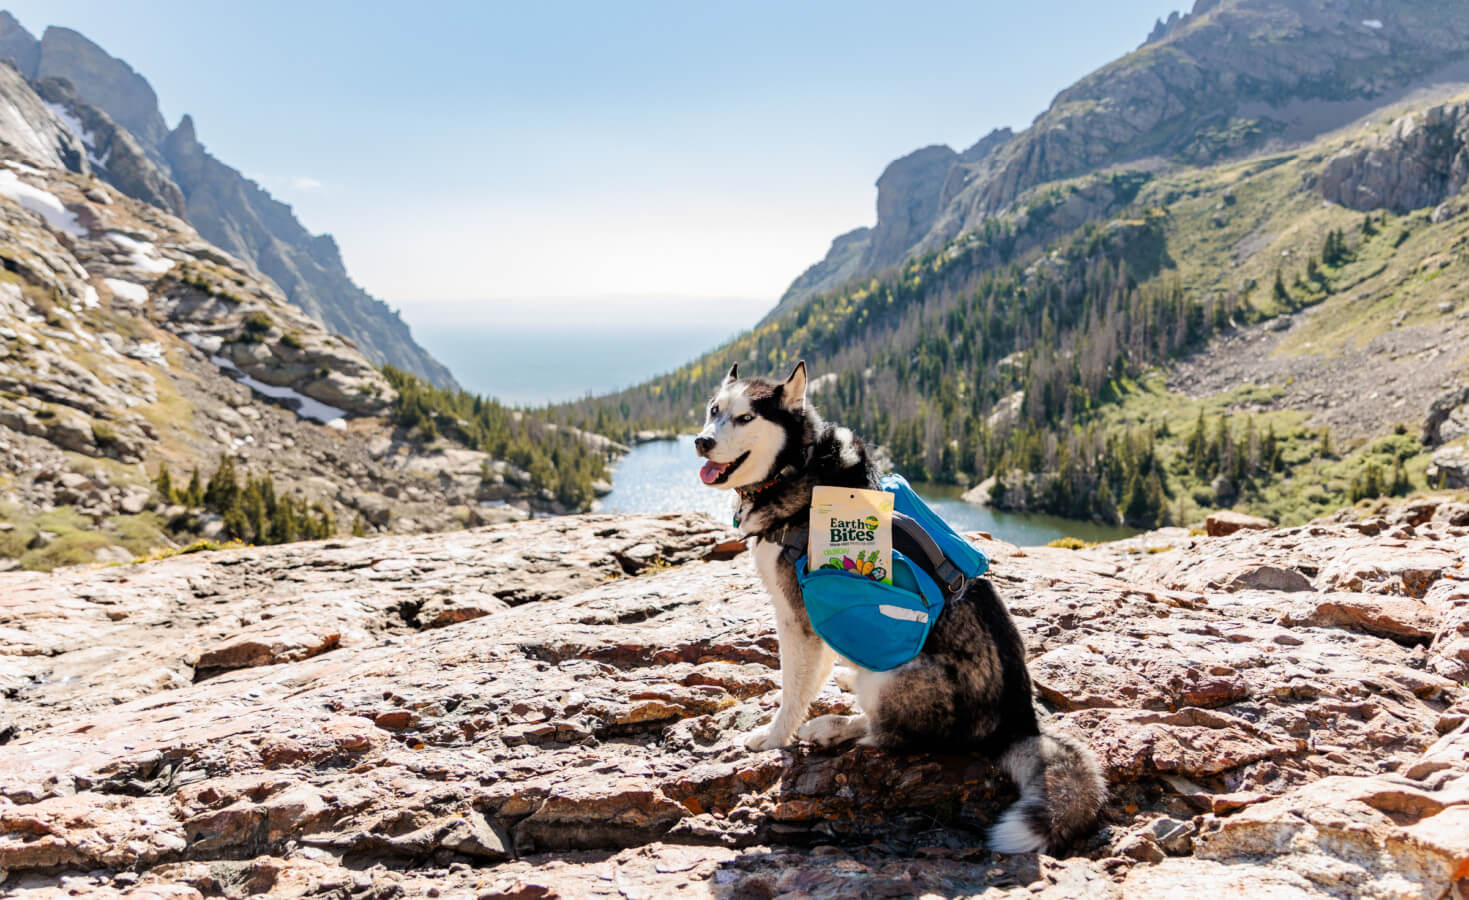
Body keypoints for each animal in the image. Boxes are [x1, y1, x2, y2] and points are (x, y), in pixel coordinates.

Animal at [696, 358, 1104, 851]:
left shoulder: (798, 620)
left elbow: (793, 691)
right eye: (714, 410)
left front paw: (775, 734)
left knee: (887, 737)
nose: (702, 442)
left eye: (745, 418)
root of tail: (1016, 721)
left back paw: (833, 728)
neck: (800, 466)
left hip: (894, 678)